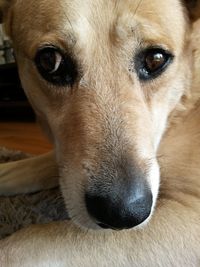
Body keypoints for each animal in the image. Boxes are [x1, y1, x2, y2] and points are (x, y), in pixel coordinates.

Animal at [0, 0, 199, 266]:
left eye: (156, 59)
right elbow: (26, 167)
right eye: (50, 61)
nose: (123, 214)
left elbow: (20, 246)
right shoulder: (66, 159)